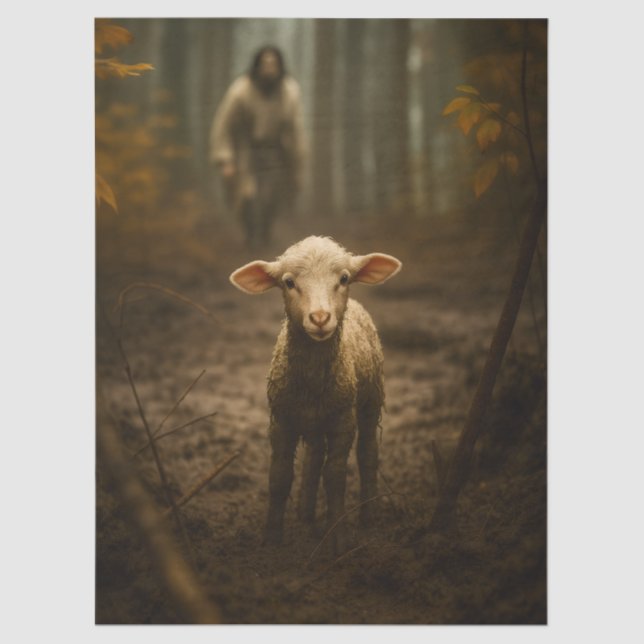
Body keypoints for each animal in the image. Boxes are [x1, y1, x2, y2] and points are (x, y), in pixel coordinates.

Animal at [229, 236, 402, 553]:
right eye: (288, 282)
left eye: (344, 279)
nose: (320, 318)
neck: (310, 381)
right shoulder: (281, 419)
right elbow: (280, 476)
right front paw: (272, 538)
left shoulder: (343, 419)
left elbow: (334, 476)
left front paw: (339, 538)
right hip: (314, 420)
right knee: (314, 456)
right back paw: (305, 512)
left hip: (370, 399)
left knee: (367, 452)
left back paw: (368, 514)